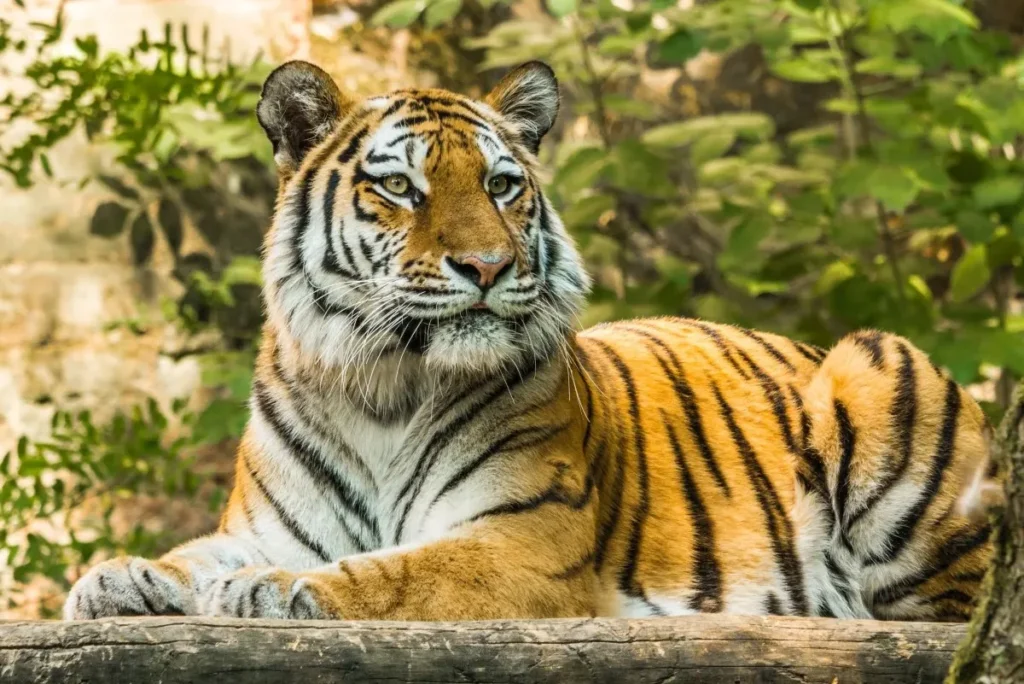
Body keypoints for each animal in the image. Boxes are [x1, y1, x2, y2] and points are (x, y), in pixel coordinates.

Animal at [64, 60, 1000, 624]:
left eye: (501, 184)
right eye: (400, 188)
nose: (487, 264)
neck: (382, 382)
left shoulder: (526, 540)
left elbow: (399, 570)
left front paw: (272, 590)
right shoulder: (269, 521)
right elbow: (195, 552)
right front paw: (120, 576)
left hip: (877, 367)